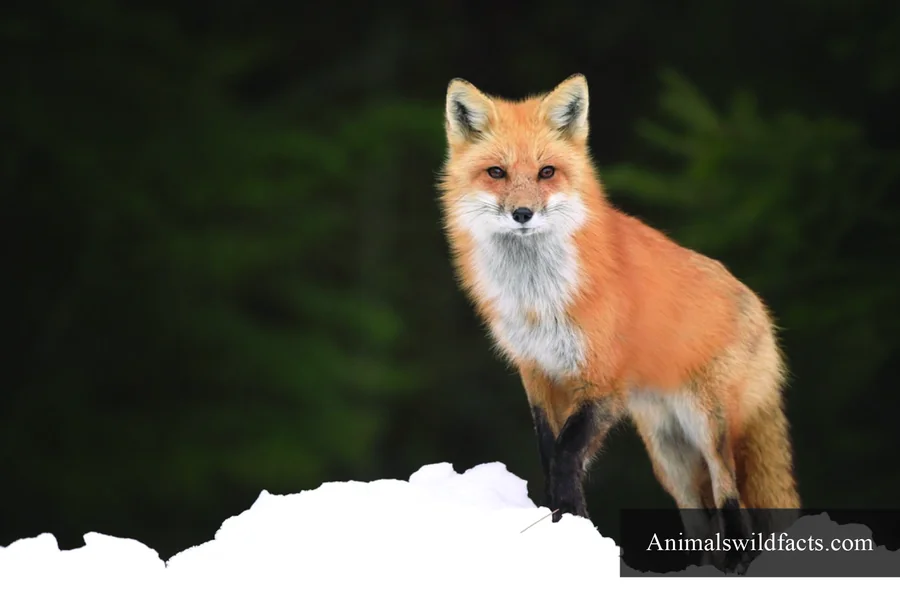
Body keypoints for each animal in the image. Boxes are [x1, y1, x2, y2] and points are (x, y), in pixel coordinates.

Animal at [436, 74, 800, 568]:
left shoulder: (602, 381)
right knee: (699, 517)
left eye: (547, 172)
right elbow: (550, 452)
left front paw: (571, 524)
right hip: (669, 455)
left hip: (708, 428)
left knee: (732, 499)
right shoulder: (536, 372)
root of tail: (761, 308)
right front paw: (562, 523)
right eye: (496, 173)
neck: (539, 298)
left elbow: (567, 456)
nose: (523, 214)